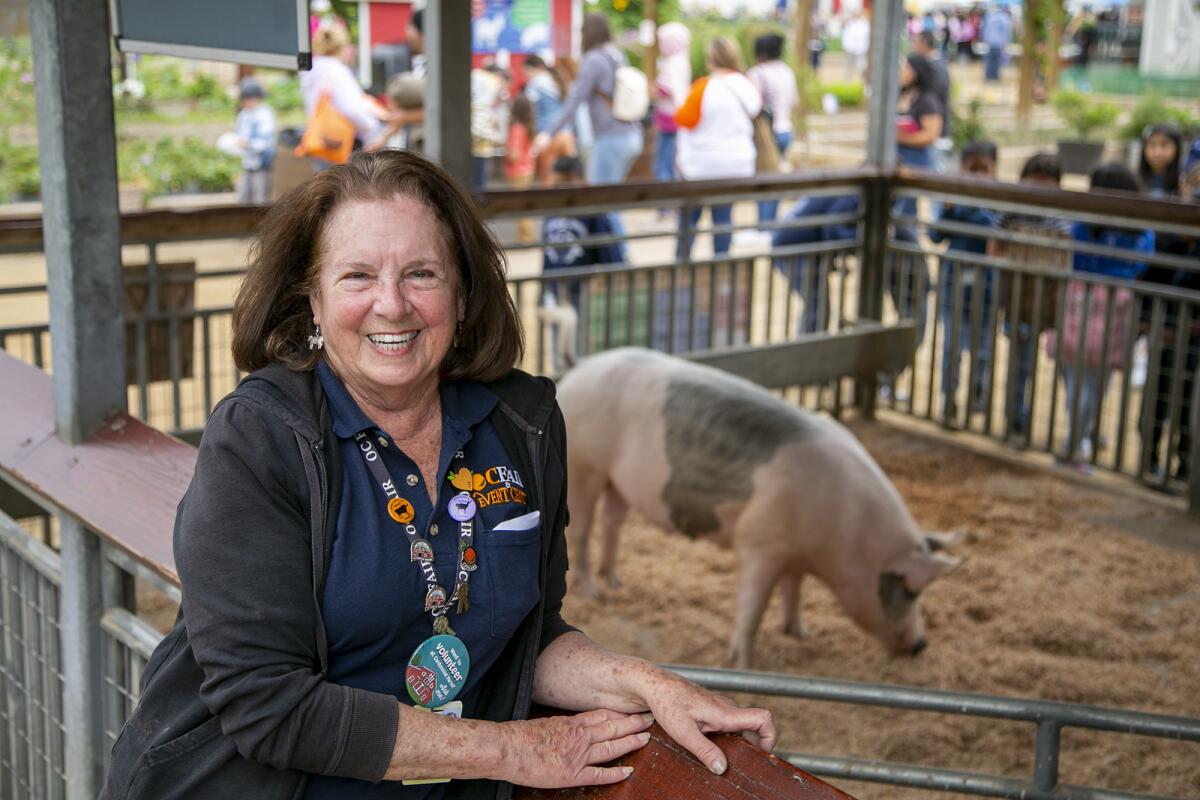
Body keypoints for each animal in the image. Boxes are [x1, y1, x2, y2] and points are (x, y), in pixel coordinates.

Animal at [556, 347, 960, 666]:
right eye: (910, 590)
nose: (921, 645)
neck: (847, 534)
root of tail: (576, 372)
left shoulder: (794, 554)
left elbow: (794, 590)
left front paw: (799, 632)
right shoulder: (760, 543)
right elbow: (752, 608)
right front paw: (744, 663)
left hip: (617, 480)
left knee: (613, 520)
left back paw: (615, 582)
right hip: (583, 466)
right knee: (581, 531)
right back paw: (591, 591)